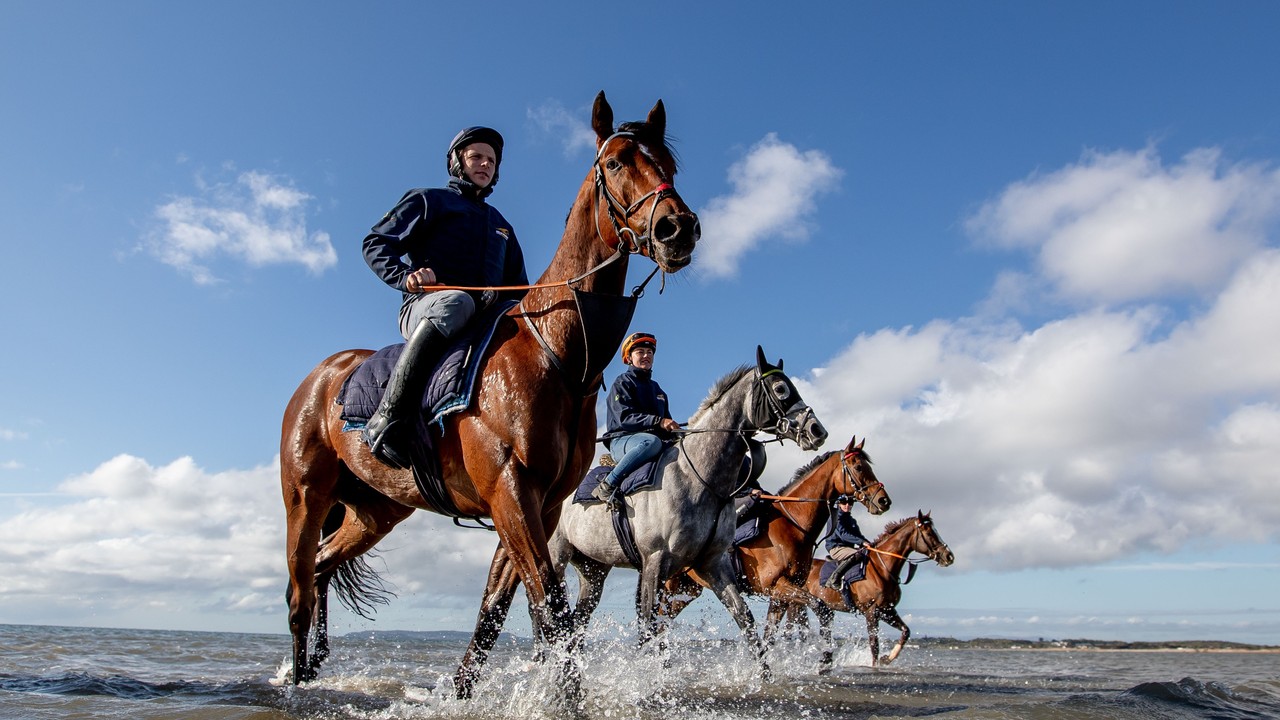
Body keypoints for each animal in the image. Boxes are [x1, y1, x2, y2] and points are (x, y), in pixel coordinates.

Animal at [277, 90, 701, 696]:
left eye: (668, 166)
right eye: (617, 162)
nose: (677, 228)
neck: (555, 354)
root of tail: (319, 376)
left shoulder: (539, 505)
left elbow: (494, 614)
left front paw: (460, 694)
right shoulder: (510, 491)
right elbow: (550, 609)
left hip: (374, 512)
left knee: (319, 571)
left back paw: (313, 670)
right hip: (305, 497)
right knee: (298, 591)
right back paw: (297, 682)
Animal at [545, 348, 824, 671]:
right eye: (780, 389)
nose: (817, 430)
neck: (699, 479)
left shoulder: (713, 564)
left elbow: (746, 621)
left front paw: (765, 675)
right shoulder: (654, 562)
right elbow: (649, 629)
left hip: (593, 570)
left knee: (576, 625)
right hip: (556, 557)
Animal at [660, 435, 890, 640]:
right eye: (859, 467)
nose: (884, 501)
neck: (793, 524)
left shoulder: (781, 595)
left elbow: (770, 635)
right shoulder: (778, 585)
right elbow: (821, 608)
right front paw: (825, 656)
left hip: (687, 589)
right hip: (671, 585)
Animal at [798, 507, 952, 666]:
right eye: (929, 533)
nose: (949, 556)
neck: (882, 568)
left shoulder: (887, 610)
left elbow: (906, 631)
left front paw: (888, 658)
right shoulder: (871, 611)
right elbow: (874, 646)